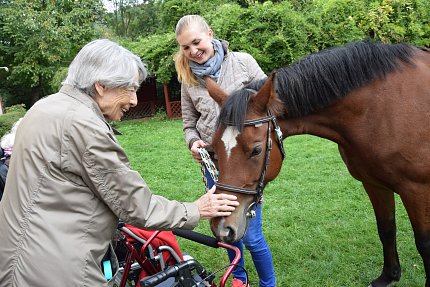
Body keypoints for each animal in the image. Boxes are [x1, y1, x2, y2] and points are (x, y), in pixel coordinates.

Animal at [204, 41, 430, 287]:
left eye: (256, 150)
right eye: (213, 151)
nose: (222, 227)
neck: (381, 109)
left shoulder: (416, 189)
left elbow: (423, 241)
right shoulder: (374, 184)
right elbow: (386, 228)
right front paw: (388, 276)